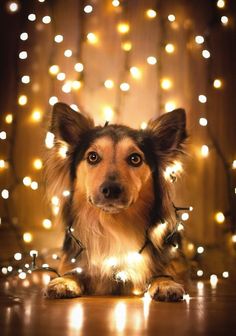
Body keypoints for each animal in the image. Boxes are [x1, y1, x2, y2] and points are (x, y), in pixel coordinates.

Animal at [44, 102, 187, 302]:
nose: (111, 190)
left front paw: (166, 283)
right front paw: (64, 281)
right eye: (92, 157)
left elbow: (162, 270)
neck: (113, 224)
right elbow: (74, 271)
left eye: (135, 159)